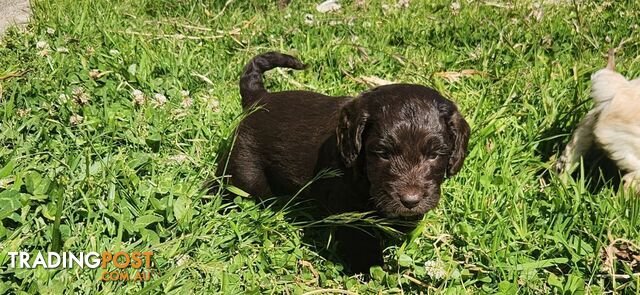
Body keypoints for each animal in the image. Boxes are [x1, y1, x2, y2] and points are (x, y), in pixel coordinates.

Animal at [218, 52, 472, 274]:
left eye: (434, 154)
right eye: (383, 153)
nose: (410, 201)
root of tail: (258, 98)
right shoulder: (350, 209)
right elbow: (362, 240)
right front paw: (370, 270)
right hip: (243, 171)